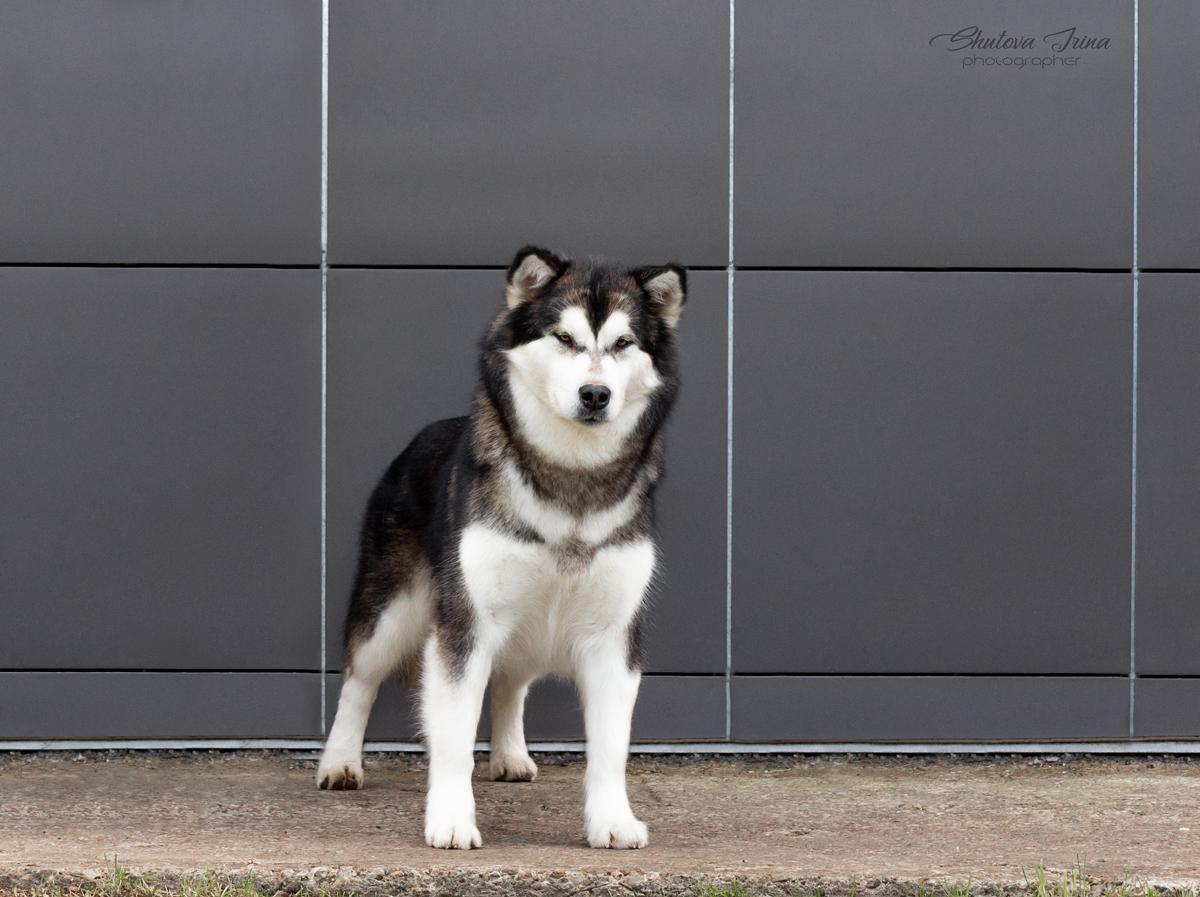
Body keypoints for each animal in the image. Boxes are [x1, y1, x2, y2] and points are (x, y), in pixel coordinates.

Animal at [316, 245, 686, 849]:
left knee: (512, 681)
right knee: (359, 680)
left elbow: (610, 746)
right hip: (394, 610)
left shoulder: (613, 636)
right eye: (564, 338)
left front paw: (611, 820)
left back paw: (510, 755)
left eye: (623, 344)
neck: (569, 479)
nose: (595, 394)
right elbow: (452, 737)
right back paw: (340, 762)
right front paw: (450, 818)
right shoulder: (465, 623)